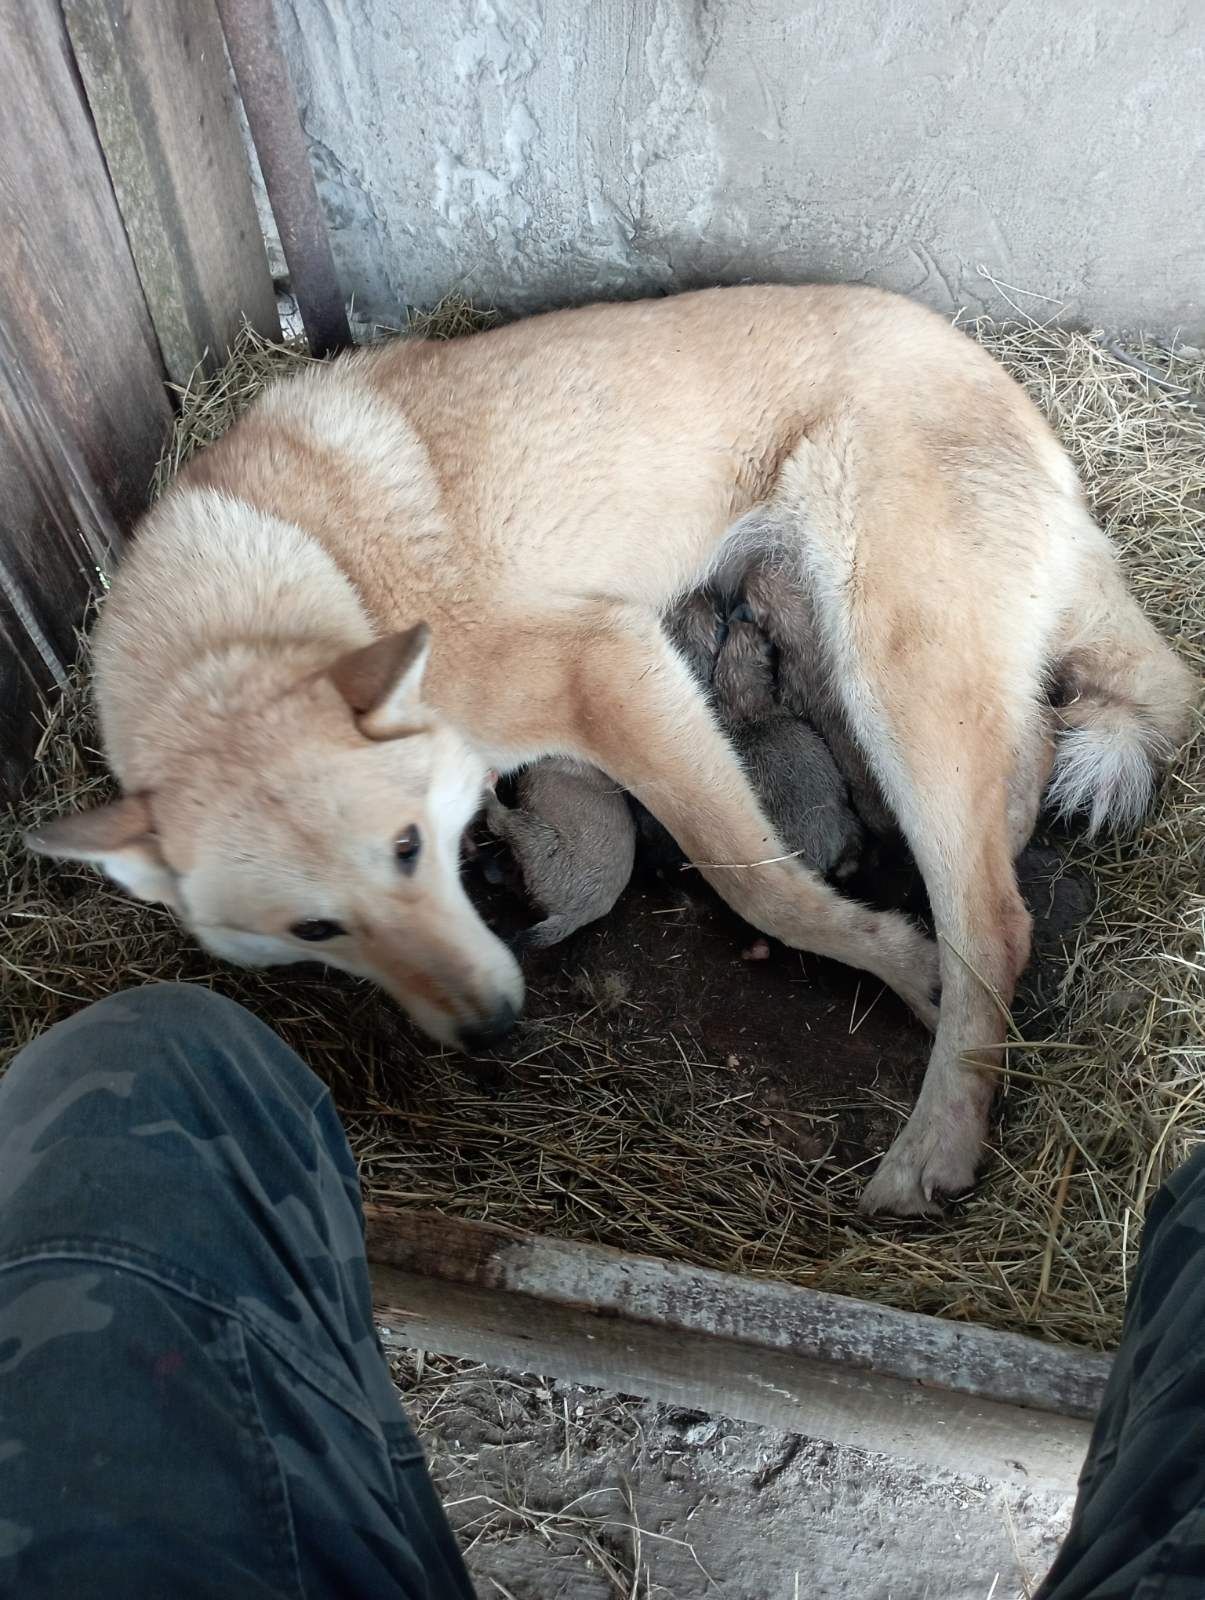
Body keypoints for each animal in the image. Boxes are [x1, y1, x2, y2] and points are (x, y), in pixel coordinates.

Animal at [28, 284, 1196, 1209]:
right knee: (1015, 777)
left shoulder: (610, 670)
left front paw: (894, 963)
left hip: (890, 659)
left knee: (992, 916)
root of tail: (1024, 412)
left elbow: (758, 885)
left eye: (411, 849)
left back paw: (936, 1131)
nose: (492, 1026)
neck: (294, 594)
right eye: (313, 929)